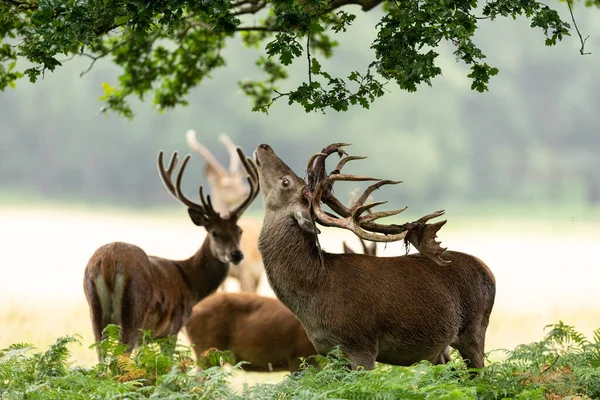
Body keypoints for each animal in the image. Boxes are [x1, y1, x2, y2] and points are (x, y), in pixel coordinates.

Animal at [84, 148, 260, 360]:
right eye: (214, 232)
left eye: (239, 231)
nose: (236, 255)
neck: (191, 284)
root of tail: (108, 263)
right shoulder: (172, 327)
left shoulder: (148, 338)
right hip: (133, 310)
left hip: (95, 311)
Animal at [251, 142, 494, 370]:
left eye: (285, 182)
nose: (264, 146)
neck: (314, 292)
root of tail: (487, 270)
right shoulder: (329, 352)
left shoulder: (361, 345)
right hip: (442, 350)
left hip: (475, 330)